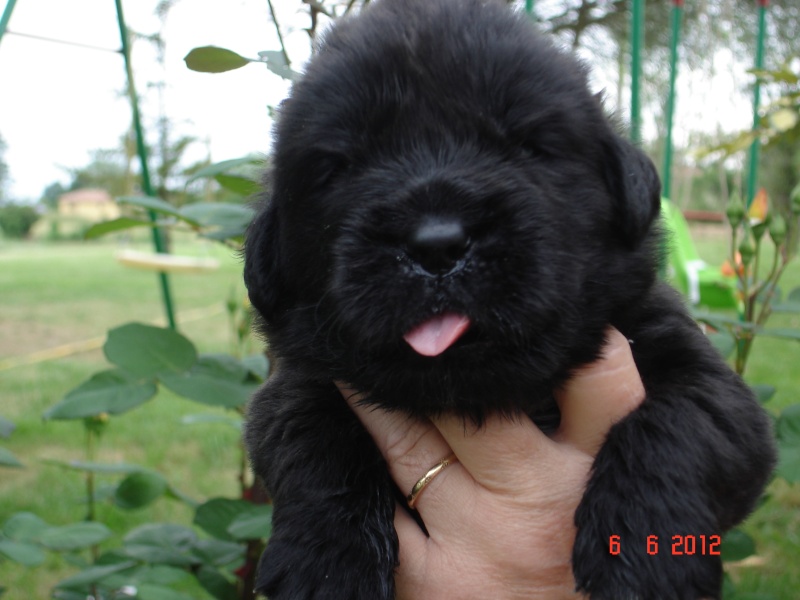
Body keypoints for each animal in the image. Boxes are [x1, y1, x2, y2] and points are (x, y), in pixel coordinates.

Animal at [244, 1, 776, 600]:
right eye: (339, 167)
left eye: (528, 146)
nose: (437, 245)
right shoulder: (297, 384)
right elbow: (311, 437)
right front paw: (326, 564)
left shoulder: (711, 384)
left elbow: (675, 424)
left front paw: (646, 556)